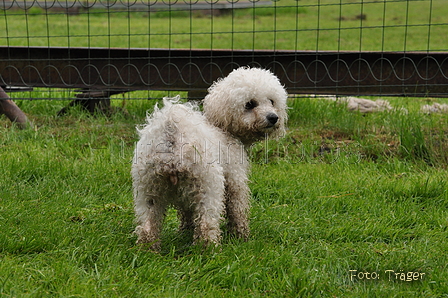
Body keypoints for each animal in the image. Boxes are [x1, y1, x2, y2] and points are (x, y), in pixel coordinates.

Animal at [131, 67, 288, 249]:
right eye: (250, 104)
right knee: (207, 222)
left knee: (148, 223)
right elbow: (237, 209)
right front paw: (241, 236)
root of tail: (173, 135)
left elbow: (187, 212)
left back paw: (147, 248)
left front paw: (185, 231)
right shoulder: (235, 179)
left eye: (271, 101)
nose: (273, 117)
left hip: (149, 189)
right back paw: (208, 248)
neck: (223, 128)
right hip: (208, 185)